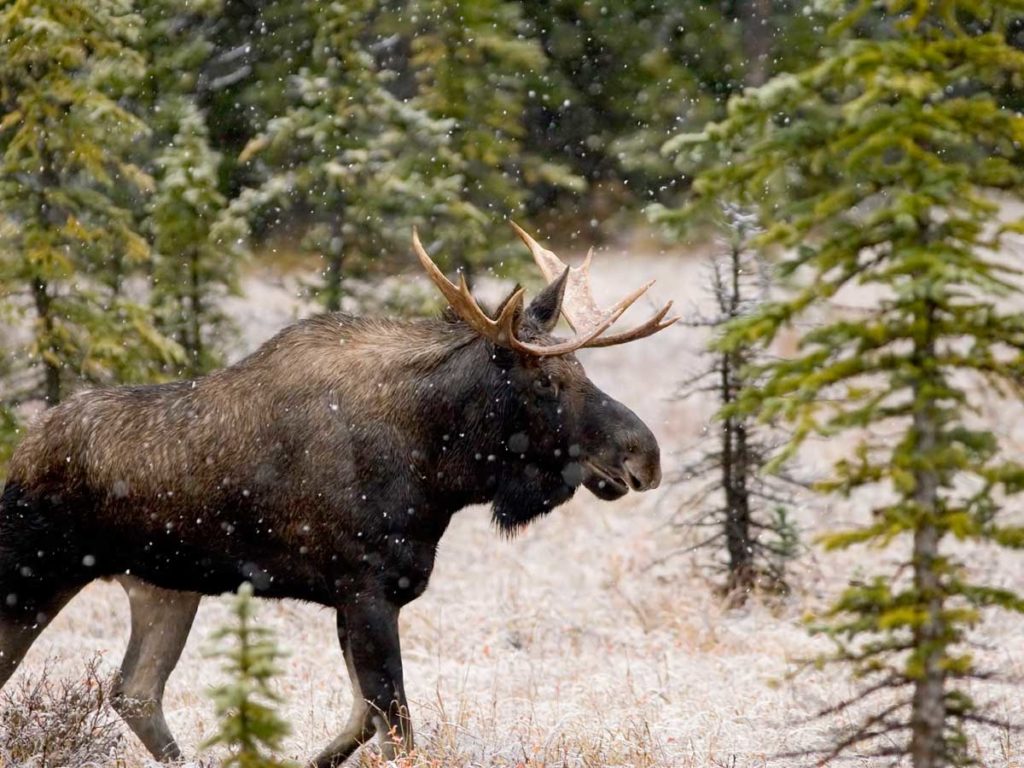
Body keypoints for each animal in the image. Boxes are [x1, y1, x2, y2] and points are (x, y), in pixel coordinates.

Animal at [2, 225, 679, 765]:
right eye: (544, 381)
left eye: (582, 371)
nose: (645, 455)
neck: (435, 471)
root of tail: (19, 454)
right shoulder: (365, 589)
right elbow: (397, 729)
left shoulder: (362, 598)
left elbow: (363, 721)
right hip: (34, 576)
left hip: (163, 587)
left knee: (135, 691)